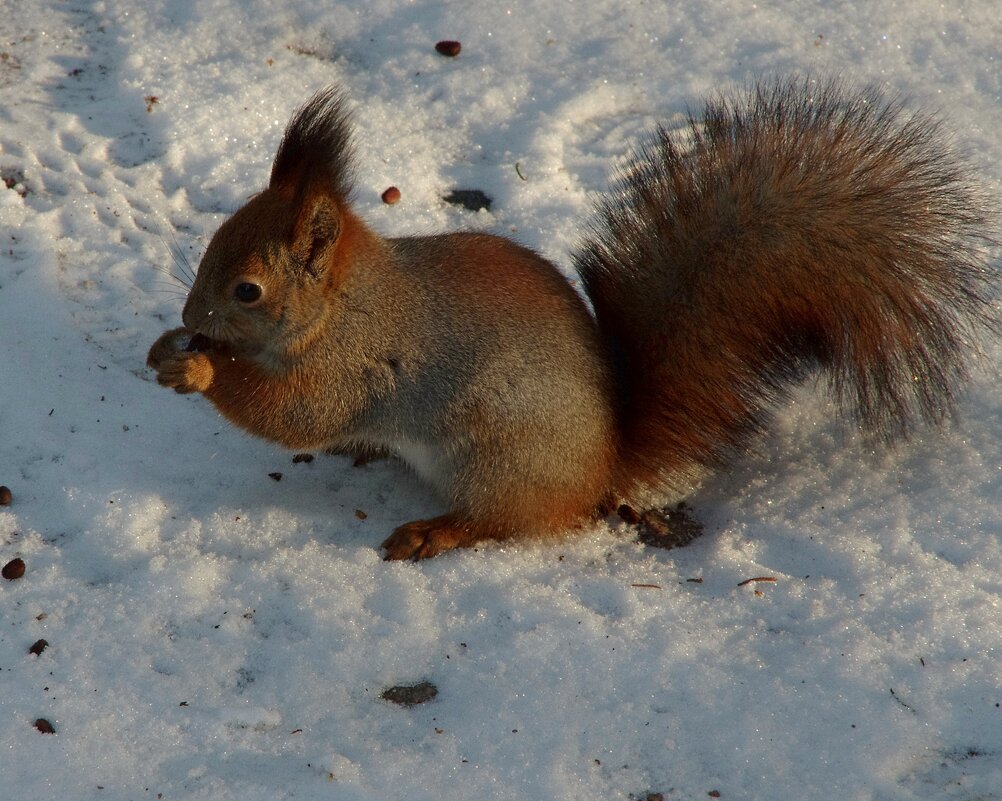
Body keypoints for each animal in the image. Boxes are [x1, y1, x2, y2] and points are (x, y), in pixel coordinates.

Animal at [145, 78, 997, 561]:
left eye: (247, 289)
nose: (190, 314)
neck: (346, 304)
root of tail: (600, 468)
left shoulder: (356, 363)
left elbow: (296, 413)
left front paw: (198, 365)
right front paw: (169, 345)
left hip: (495, 455)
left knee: (509, 521)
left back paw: (434, 530)